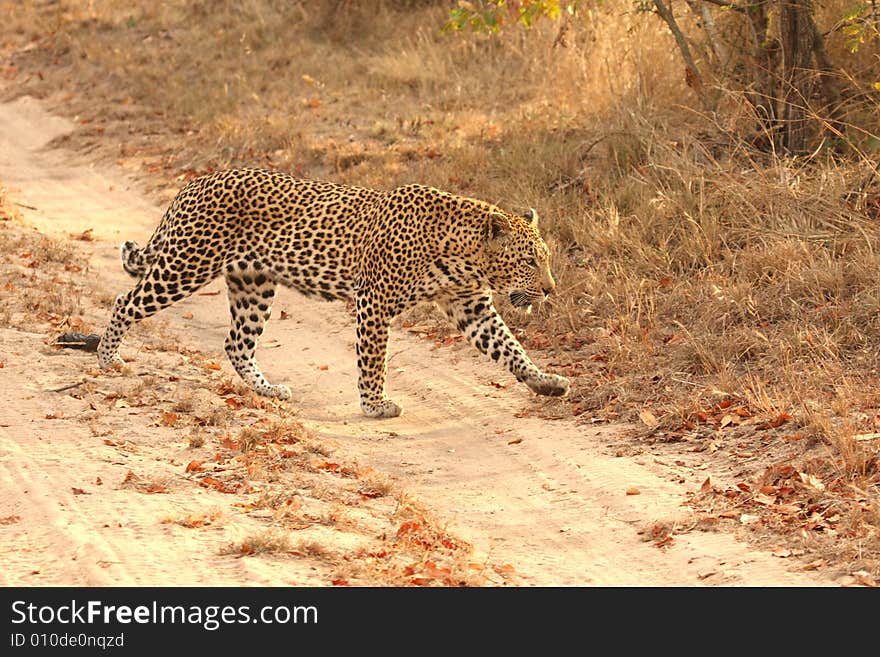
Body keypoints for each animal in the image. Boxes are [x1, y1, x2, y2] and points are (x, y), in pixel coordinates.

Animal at [98, 167, 572, 418]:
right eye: (529, 261)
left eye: (545, 259)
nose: (551, 290)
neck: (463, 255)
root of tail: (197, 182)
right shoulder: (375, 302)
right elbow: (374, 360)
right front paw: (376, 405)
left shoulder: (471, 306)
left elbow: (510, 349)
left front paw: (545, 382)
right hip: (185, 266)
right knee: (125, 302)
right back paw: (107, 358)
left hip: (254, 285)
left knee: (237, 343)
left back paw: (269, 390)